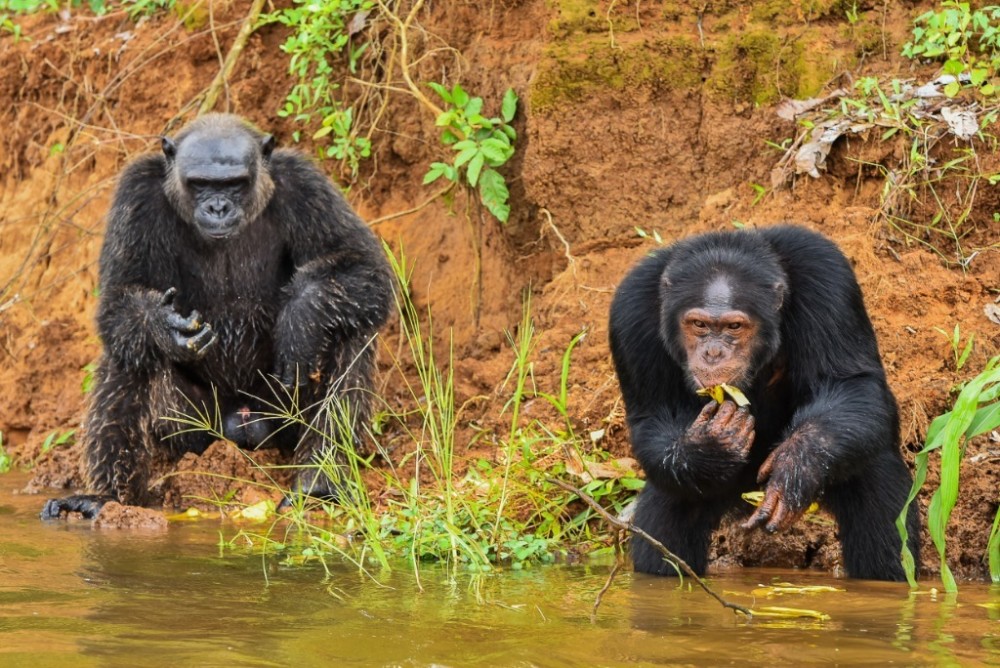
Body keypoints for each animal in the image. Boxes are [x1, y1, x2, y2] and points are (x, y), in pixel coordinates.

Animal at [40, 113, 390, 520]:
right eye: (200, 184)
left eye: (234, 184)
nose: (218, 207)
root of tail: (239, 424)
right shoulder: (135, 194)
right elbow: (118, 299)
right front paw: (165, 328)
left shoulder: (308, 186)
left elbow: (364, 265)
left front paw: (299, 321)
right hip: (189, 427)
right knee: (127, 351)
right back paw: (107, 498)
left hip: (280, 419)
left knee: (347, 327)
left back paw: (317, 482)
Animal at [604, 223, 916, 580]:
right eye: (698, 324)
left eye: (734, 326)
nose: (713, 353)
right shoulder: (630, 312)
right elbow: (652, 417)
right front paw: (708, 450)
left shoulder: (826, 274)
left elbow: (850, 383)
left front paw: (797, 464)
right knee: (667, 510)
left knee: (875, 477)